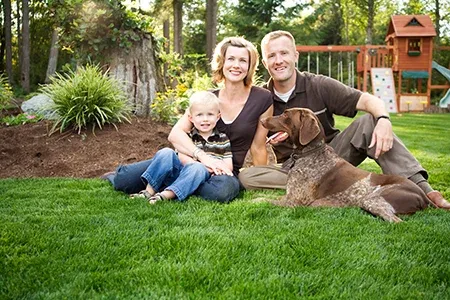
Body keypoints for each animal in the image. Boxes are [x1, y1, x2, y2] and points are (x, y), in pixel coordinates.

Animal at [262, 108, 430, 223]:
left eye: (285, 115)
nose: (262, 120)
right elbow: (266, 196)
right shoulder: (289, 196)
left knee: (396, 222)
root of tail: (424, 197)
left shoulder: (294, 202)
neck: (309, 153)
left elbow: (262, 200)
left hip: (372, 199)